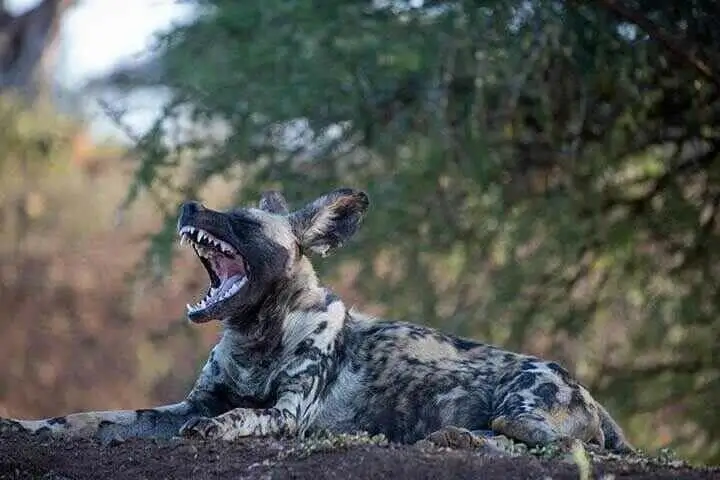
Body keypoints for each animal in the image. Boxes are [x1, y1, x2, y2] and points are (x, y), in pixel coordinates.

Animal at [0, 189, 632, 452]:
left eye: (241, 222)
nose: (188, 205)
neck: (256, 341)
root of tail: (588, 391)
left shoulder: (284, 415)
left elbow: (237, 418)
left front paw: (217, 430)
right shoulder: (186, 404)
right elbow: (87, 418)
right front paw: (27, 426)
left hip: (521, 400)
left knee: (549, 440)